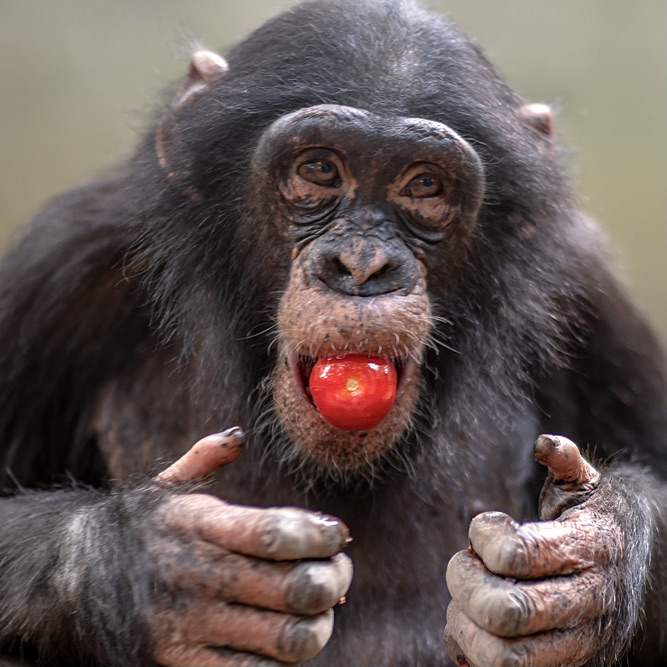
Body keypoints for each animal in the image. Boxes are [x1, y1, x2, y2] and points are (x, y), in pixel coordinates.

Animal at [1, 1, 667, 667]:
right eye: (318, 168)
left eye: (424, 184)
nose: (363, 265)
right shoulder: (62, 263)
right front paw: (162, 563)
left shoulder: (590, 289)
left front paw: (590, 561)